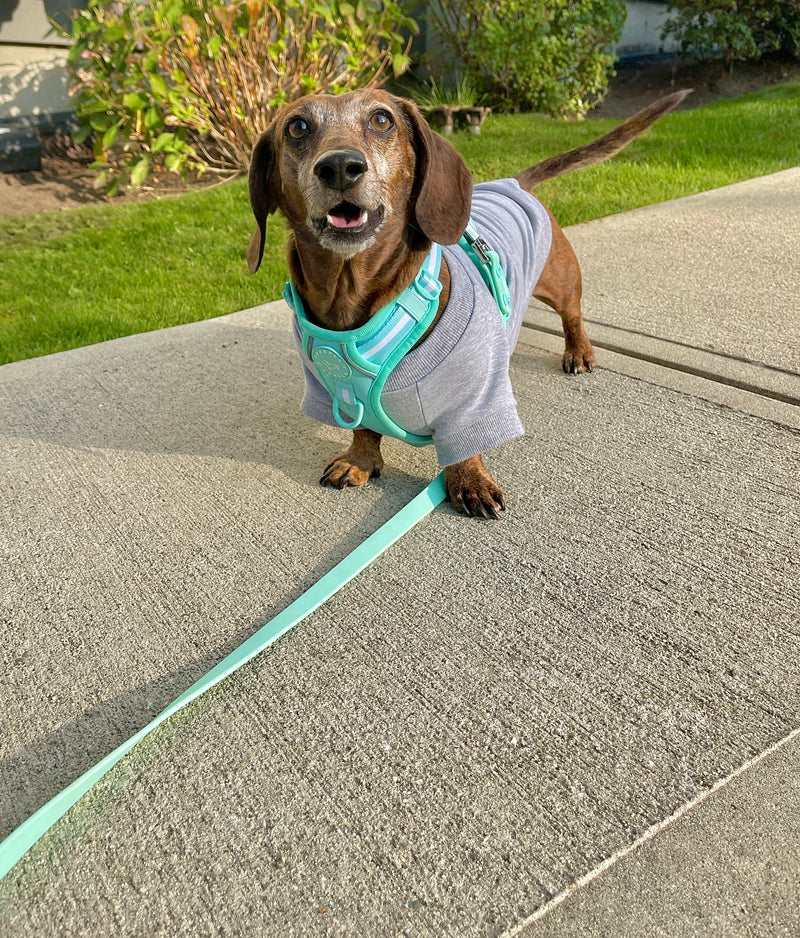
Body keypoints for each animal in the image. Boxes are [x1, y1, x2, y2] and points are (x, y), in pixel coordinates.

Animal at [247, 86, 692, 520]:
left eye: (381, 119)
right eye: (297, 127)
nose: (340, 166)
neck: (355, 304)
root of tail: (513, 182)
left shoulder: (472, 401)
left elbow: (465, 444)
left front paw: (469, 481)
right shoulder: (337, 392)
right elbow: (363, 426)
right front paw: (359, 459)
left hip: (561, 282)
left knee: (573, 315)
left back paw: (578, 350)